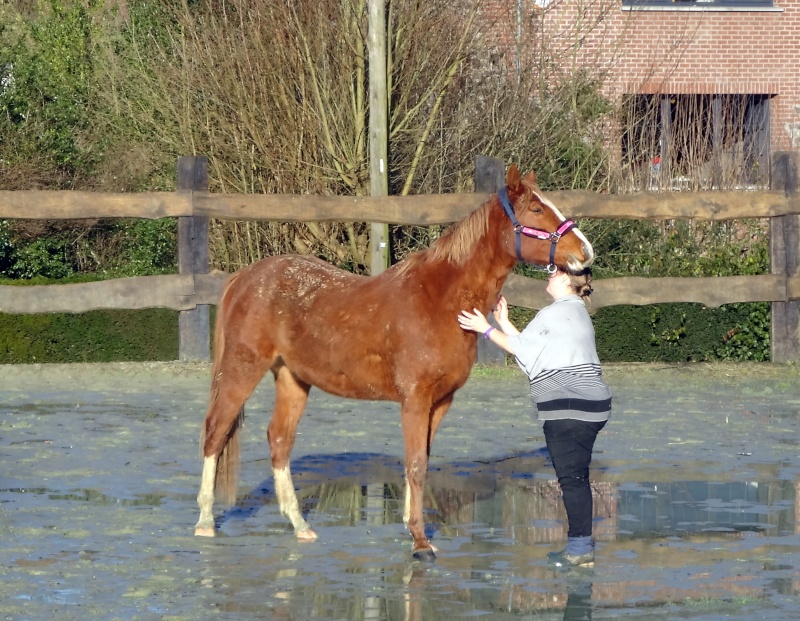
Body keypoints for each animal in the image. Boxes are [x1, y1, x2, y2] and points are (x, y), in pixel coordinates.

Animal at [194, 162, 592, 560]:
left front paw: (412, 528)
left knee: (279, 440)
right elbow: (415, 464)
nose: (585, 253)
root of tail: (244, 277)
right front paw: (420, 542)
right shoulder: (415, 399)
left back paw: (301, 526)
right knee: (215, 432)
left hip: (292, 379)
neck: (439, 300)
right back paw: (205, 523)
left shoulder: (441, 401)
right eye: (537, 209)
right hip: (242, 369)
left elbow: (422, 462)